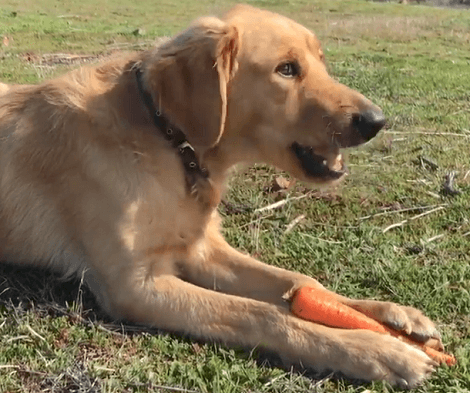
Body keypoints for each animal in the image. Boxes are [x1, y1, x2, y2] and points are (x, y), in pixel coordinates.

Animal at [0, 4, 440, 388]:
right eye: (286, 69)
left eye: (320, 61)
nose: (377, 121)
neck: (169, 141)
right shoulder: (135, 285)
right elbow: (263, 314)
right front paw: (375, 349)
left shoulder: (203, 250)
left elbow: (301, 281)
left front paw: (391, 315)